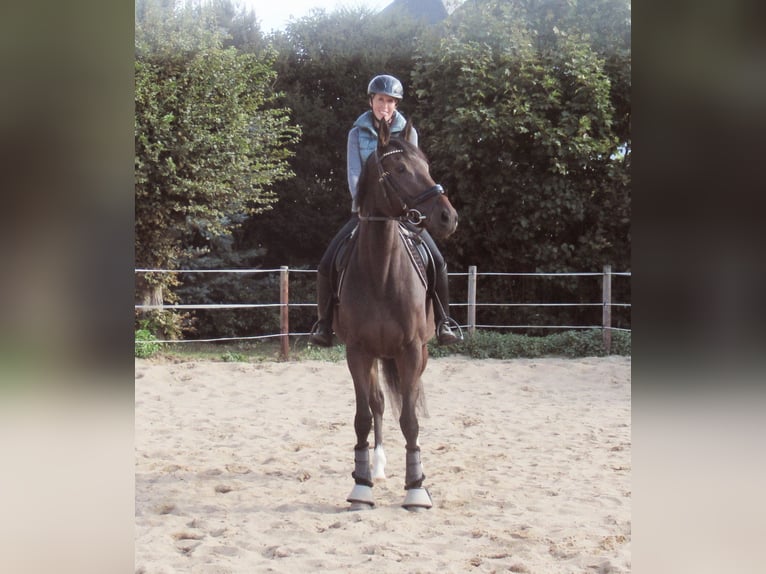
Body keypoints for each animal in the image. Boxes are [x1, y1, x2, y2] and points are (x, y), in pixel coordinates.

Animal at [333, 119, 458, 510]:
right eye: (400, 169)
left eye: (427, 166)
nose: (448, 217)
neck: (381, 270)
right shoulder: (357, 351)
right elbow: (363, 416)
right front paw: (360, 486)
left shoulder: (411, 350)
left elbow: (411, 419)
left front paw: (416, 488)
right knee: (377, 404)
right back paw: (376, 466)